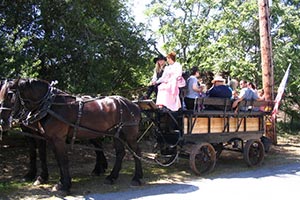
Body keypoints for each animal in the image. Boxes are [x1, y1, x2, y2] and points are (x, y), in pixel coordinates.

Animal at [0, 77, 142, 192]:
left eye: (10, 95)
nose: (2, 122)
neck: (50, 105)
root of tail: (132, 104)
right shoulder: (49, 138)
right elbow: (56, 160)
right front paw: (59, 182)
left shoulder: (57, 139)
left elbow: (62, 160)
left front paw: (65, 186)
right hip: (115, 134)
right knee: (119, 153)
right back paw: (111, 177)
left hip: (129, 134)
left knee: (136, 152)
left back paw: (137, 178)